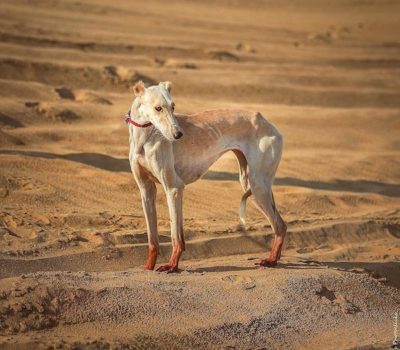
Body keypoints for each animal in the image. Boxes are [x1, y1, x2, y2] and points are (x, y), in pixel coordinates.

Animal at [126, 80, 286, 272]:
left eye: (173, 106)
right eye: (158, 108)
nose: (178, 135)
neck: (146, 137)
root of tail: (267, 123)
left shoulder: (173, 188)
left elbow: (176, 236)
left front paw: (172, 265)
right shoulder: (146, 190)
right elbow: (153, 238)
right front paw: (149, 267)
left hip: (257, 187)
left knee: (279, 226)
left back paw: (271, 261)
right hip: (252, 184)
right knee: (281, 223)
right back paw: (274, 258)